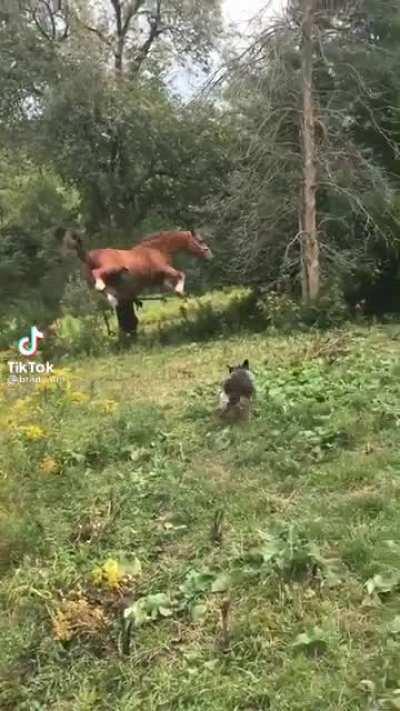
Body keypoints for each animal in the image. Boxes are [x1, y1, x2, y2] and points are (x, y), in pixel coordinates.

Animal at [60, 229, 213, 337]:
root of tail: (89, 256)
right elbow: (181, 274)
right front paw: (181, 292)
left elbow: (173, 284)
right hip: (112, 268)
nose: (210, 255)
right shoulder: (165, 269)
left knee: (103, 290)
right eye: (200, 240)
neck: (157, 249)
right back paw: (105, 289)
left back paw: (113, 299)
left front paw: (181, 295)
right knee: (98, 276)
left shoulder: (161, 278)